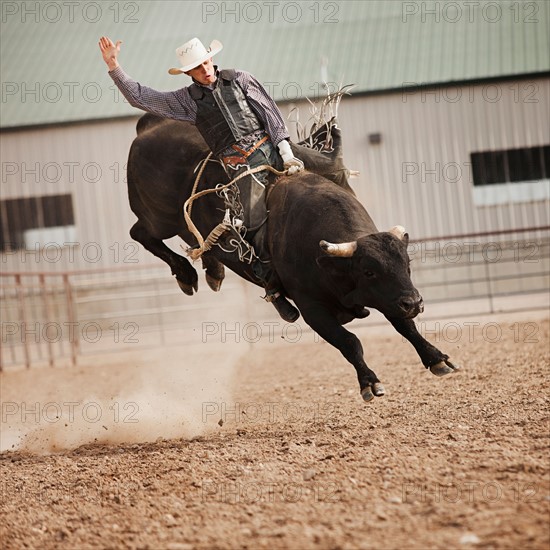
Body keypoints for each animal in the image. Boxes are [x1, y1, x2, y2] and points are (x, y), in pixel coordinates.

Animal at [127, 115, 460, 402]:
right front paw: (370, 382)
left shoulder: (389, 296)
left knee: (199, 241)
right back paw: (186, 274)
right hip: (158, 218)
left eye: (406, 265)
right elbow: (350, 342)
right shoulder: (313, 309)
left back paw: (213, 271)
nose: (414, 302)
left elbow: (406, 327)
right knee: (140, 233)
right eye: (368, 271)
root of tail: (151, 125)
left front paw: (437, 358)